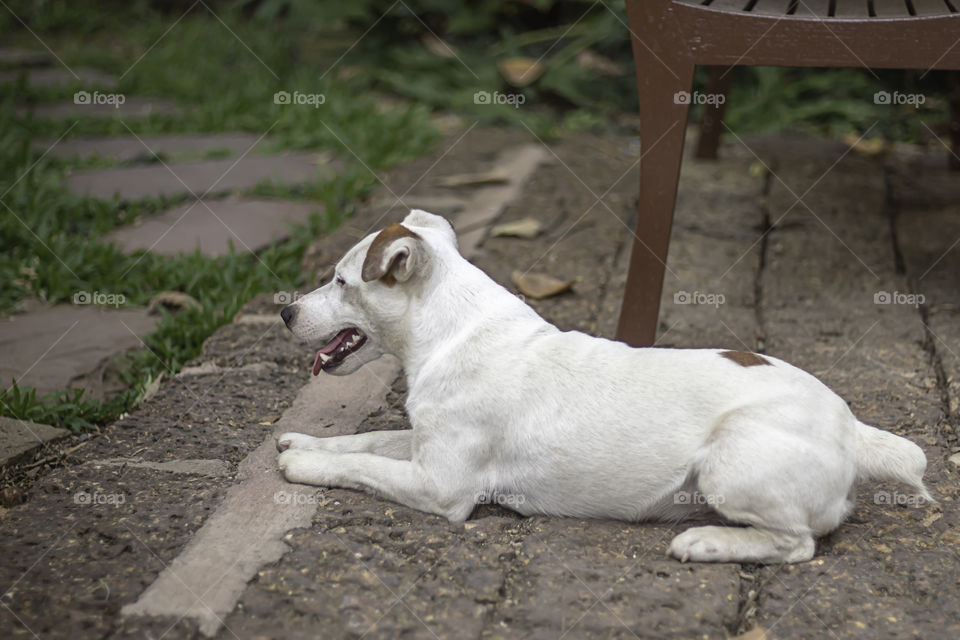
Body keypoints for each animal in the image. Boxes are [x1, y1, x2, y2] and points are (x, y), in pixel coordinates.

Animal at [276, 211, 928, 564]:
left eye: (340, 281)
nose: (284, 312)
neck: (452, 332)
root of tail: (852, 430)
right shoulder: (423, 446)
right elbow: (368, 442)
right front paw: (303, 440)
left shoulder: (441, 487)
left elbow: (361, 467)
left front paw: (304, 465)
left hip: (732, 458)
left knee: (795, 543)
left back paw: (707, 542)